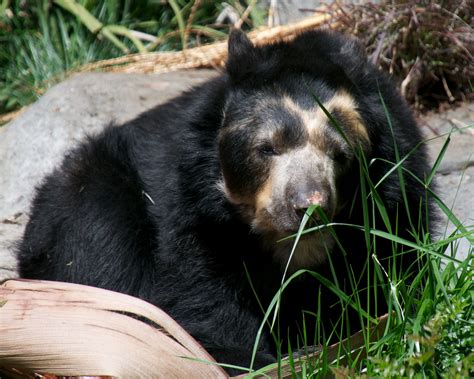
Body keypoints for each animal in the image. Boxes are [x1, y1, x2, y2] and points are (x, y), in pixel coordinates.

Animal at [16, 29, 436, 374]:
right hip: (90, 196)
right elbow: (202, 291)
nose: (308, 207)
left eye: (341, 155)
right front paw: (253, 359)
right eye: (266, 148)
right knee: (103, 260)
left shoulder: (400, 197)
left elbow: (388, 269)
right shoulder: (190, 207)